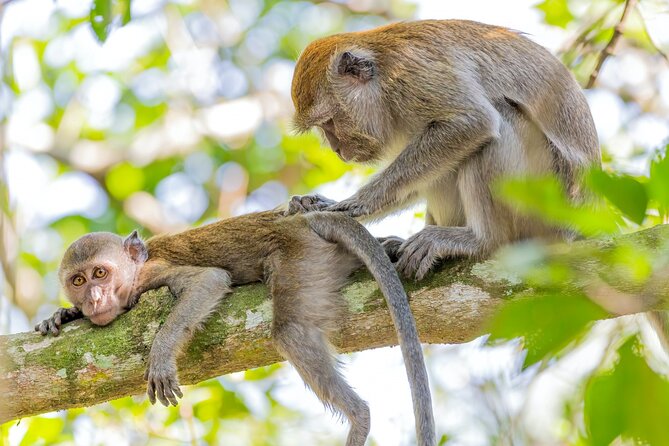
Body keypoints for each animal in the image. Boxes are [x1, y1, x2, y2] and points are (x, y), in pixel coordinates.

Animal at [34, 210, 436, 446]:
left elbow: (209, 281)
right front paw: (64, 314)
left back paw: (359, 417)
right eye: (78, 280)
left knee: (291, 331)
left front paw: (161, 354)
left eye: (100, 273)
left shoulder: (152, 276)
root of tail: (302, 221)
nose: (94, 297)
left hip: (300, 253)